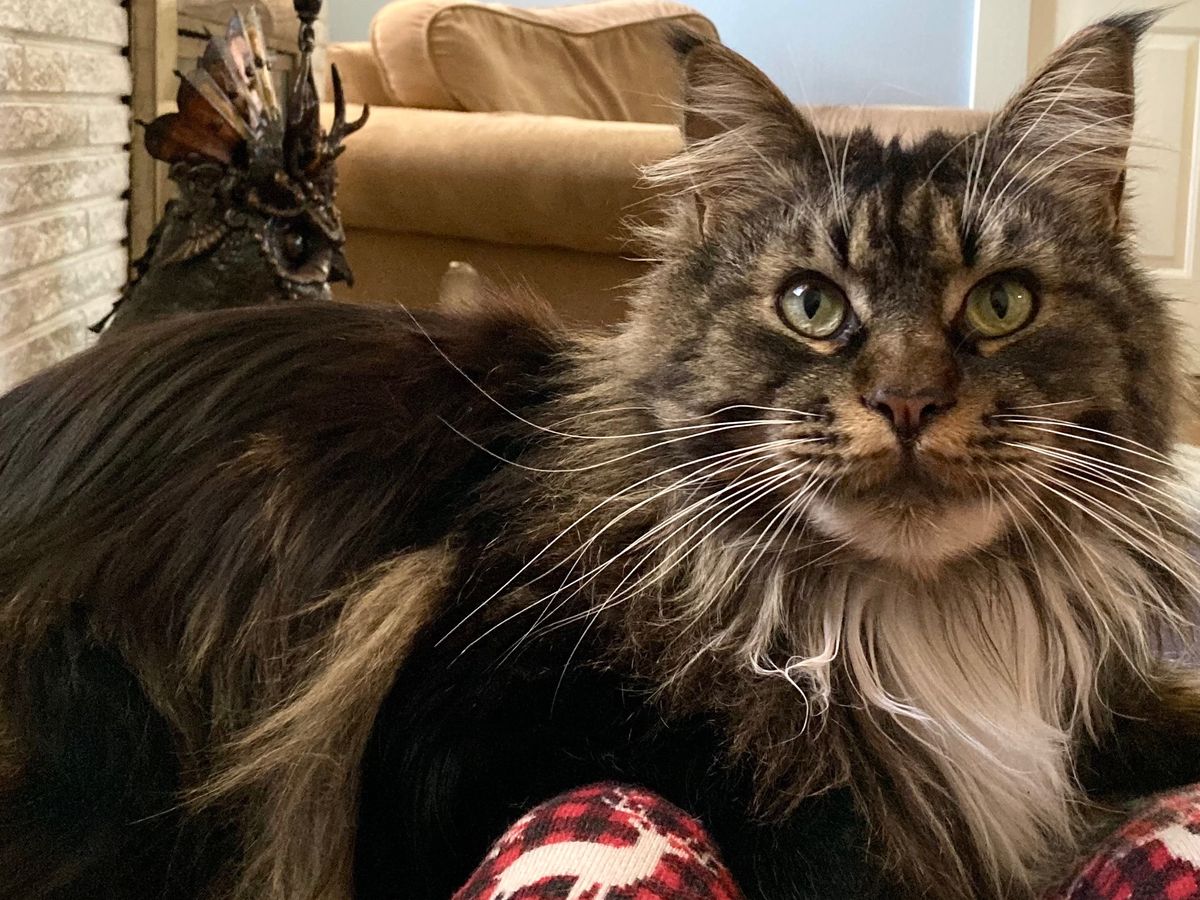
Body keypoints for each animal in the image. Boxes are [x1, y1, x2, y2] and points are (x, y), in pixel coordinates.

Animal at [1, 12, 1198, 900]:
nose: (906, 401)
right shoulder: (467, 734)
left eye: (1001, 305)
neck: (902, 621)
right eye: (813, 306)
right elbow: (844, 842)